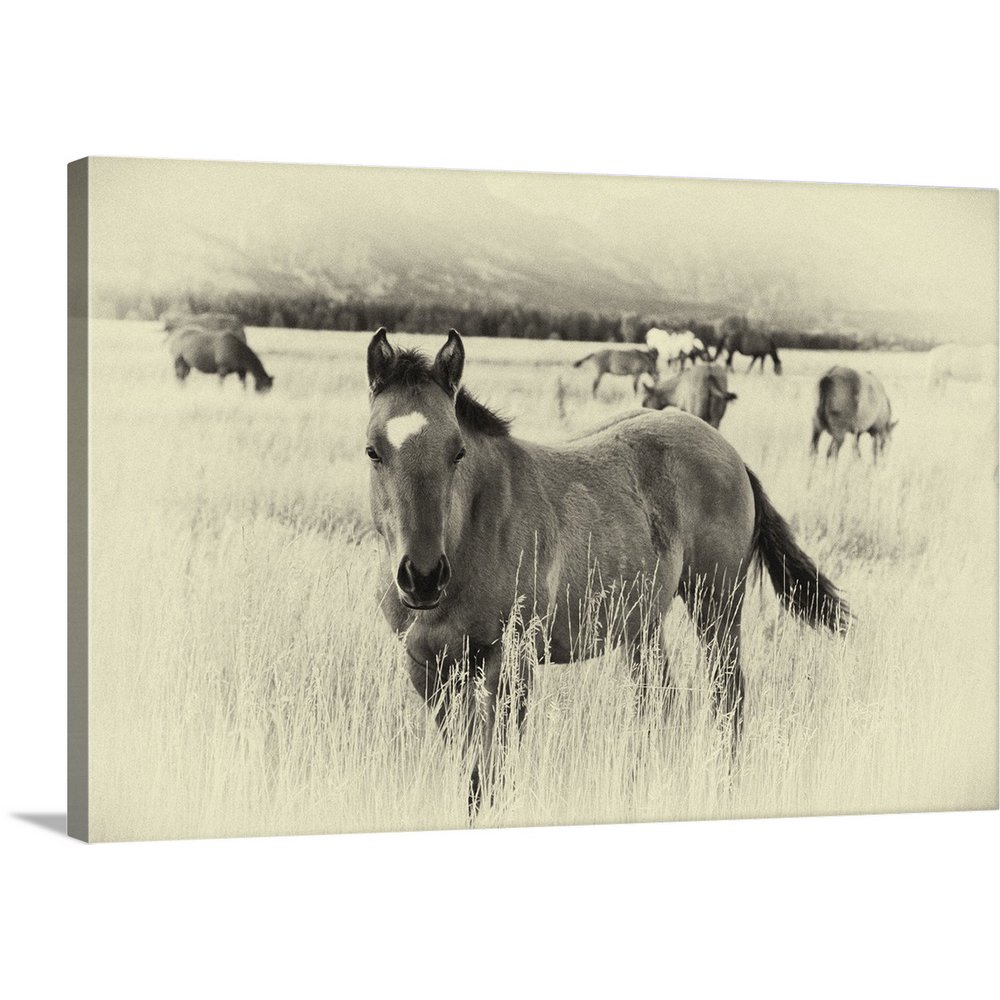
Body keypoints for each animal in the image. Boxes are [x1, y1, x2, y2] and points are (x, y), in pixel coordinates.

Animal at [366, 328, 849, 813]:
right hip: (643, 627)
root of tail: (729, 452)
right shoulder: (427, 670)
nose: (423, 577)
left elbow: (493, 769)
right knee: (660, 703)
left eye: (458, 451)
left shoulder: (511, 662)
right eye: (372, 451)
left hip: (718, 607)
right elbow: (470, 768)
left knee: (727, 697)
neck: (473, 535)